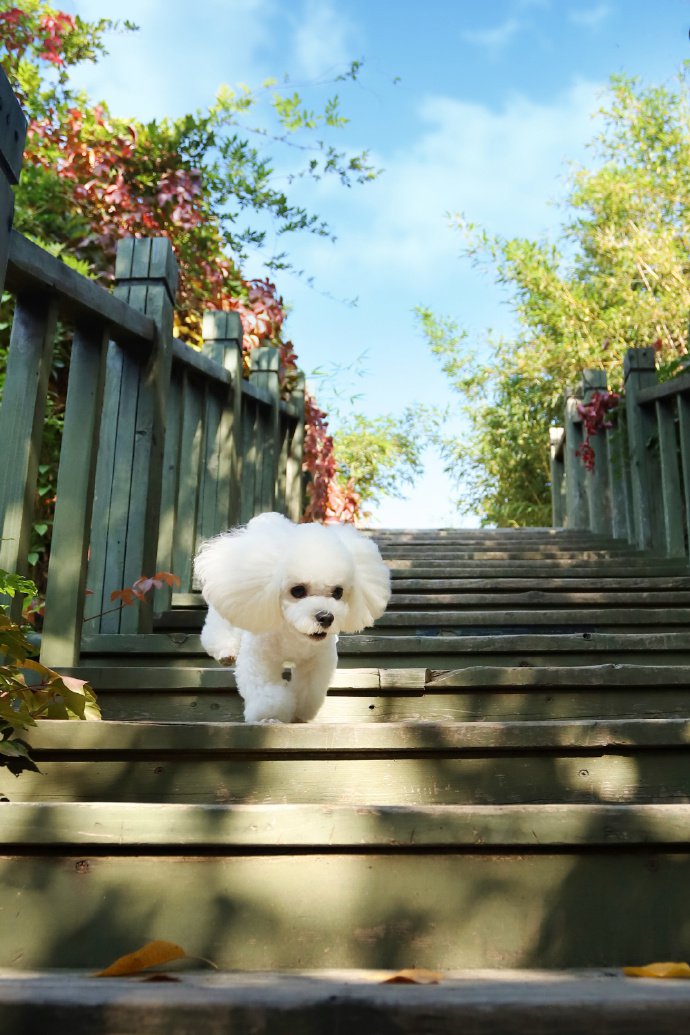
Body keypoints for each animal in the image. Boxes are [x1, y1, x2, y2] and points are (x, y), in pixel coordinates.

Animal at [194, 513, 391, 724]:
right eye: (297, 590)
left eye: (338, 592)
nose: (326, 617)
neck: (294, 635)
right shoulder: (259, 659)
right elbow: (267, 693)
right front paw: (270, 717)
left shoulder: (317, 661)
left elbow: (308, 691)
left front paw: (299, 713)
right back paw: (225, 653)